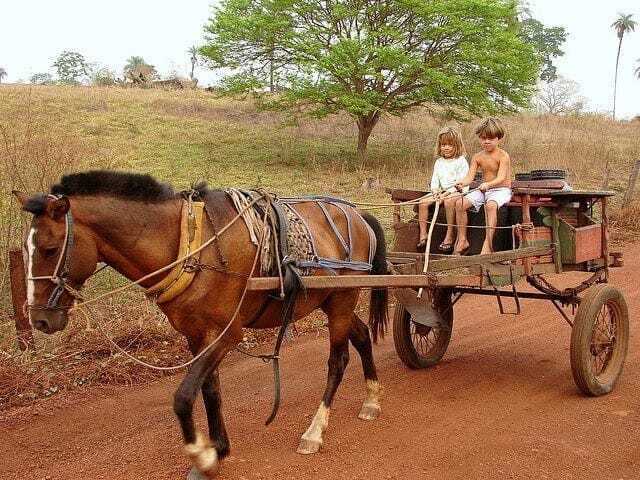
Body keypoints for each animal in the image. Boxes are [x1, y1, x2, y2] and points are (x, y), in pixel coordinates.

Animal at [12, 171, 388, 478]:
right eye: (26, 251)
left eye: (49, 248)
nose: (40, 318)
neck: (189, 246)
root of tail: (358, 214)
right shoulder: (196, 336)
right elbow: (210, 391)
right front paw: (219, 448)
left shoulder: (225, 334)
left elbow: (183, 397)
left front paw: (201, 454)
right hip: (330, 300)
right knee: (361, 335)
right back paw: (371, 400)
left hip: (341, 300)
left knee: (337, 361)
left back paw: (315, 431)